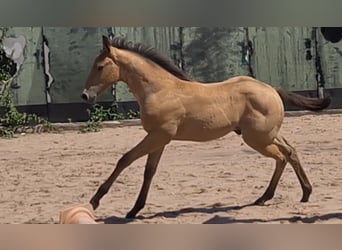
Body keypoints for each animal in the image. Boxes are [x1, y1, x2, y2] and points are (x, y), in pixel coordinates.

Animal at [81, 35, 332, 219]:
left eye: (100, 66)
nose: (85, 96)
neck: (159, 90)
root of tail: (271, 89)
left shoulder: (158, 135)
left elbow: (125, 159)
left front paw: (95, 200)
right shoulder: (159, 139)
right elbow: (148, 172)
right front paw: (134, 209)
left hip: (258, 138)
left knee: (282, 155)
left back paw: (270, 196)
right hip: (266, 135)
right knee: (290, 150)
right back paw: (298, 193)